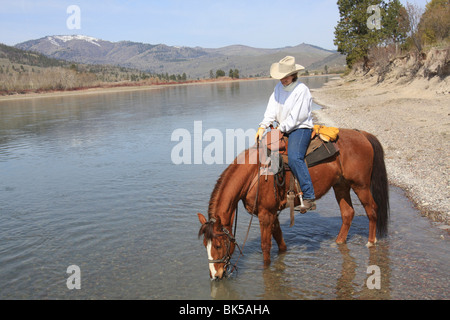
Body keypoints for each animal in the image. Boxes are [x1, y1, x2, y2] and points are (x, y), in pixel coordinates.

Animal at [198, 129, 390, 278]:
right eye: (205, 245)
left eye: (218, 245)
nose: (215, 275)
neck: (254, 174)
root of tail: (361, 134)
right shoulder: (271, 212)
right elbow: (279, 238)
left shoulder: (265, 214)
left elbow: (266, 245)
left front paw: (266, 269)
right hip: (341, 185)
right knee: (348, 213)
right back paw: (338, 242)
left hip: (361, 186)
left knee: (372, 210)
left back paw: (370, 242)